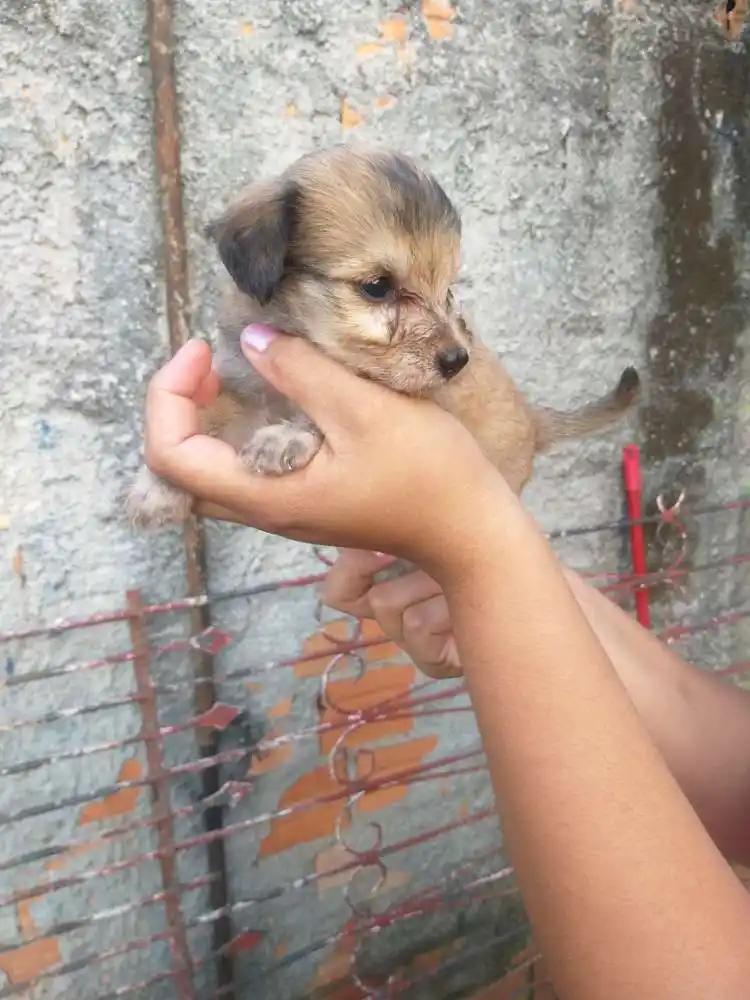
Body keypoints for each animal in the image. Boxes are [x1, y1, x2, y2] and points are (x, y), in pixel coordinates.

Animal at [128, 146, 640, 672]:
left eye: (448, 290)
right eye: (377, 286)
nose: (457, 360)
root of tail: (533, 420)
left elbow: (313, 417)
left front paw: (286, 437)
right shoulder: (244, 388)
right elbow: (206, 415)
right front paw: (157, 487)